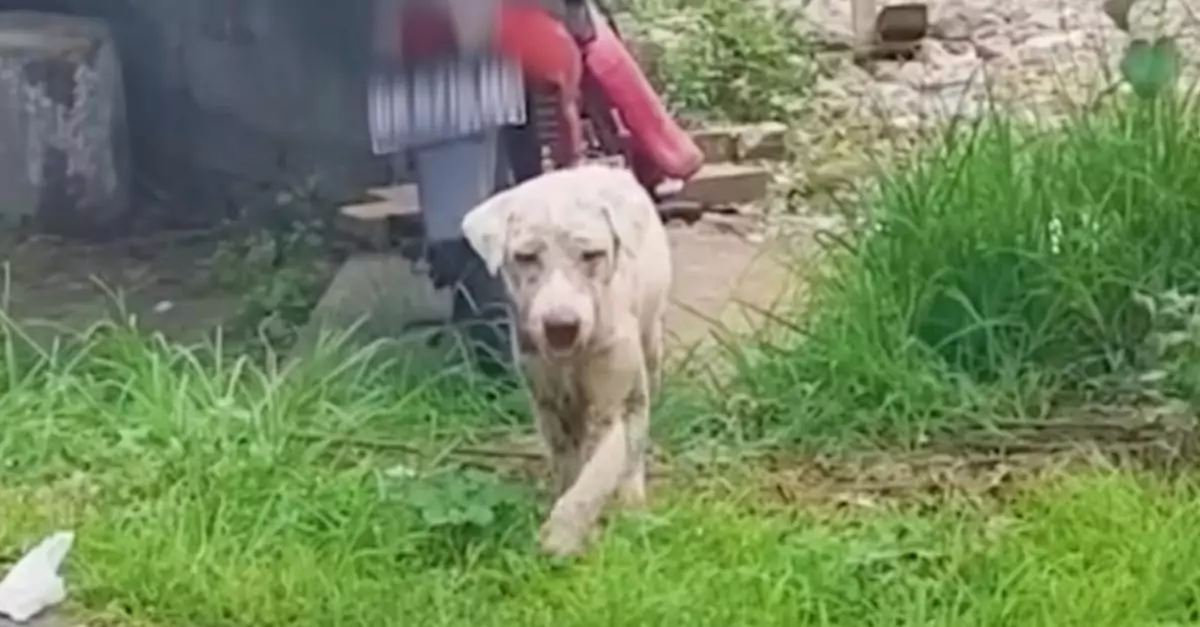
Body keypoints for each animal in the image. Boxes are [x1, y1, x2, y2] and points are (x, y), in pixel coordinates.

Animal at [458, 163, 672, 554]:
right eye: (525, 257)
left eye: (592, 255)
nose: (561, 327)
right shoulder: (549, 403)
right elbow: (569, 465)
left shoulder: (609, 407)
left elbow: (597, 473)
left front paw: (561, 536)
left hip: (649, 346)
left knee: (638, 426)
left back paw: (632, 499)